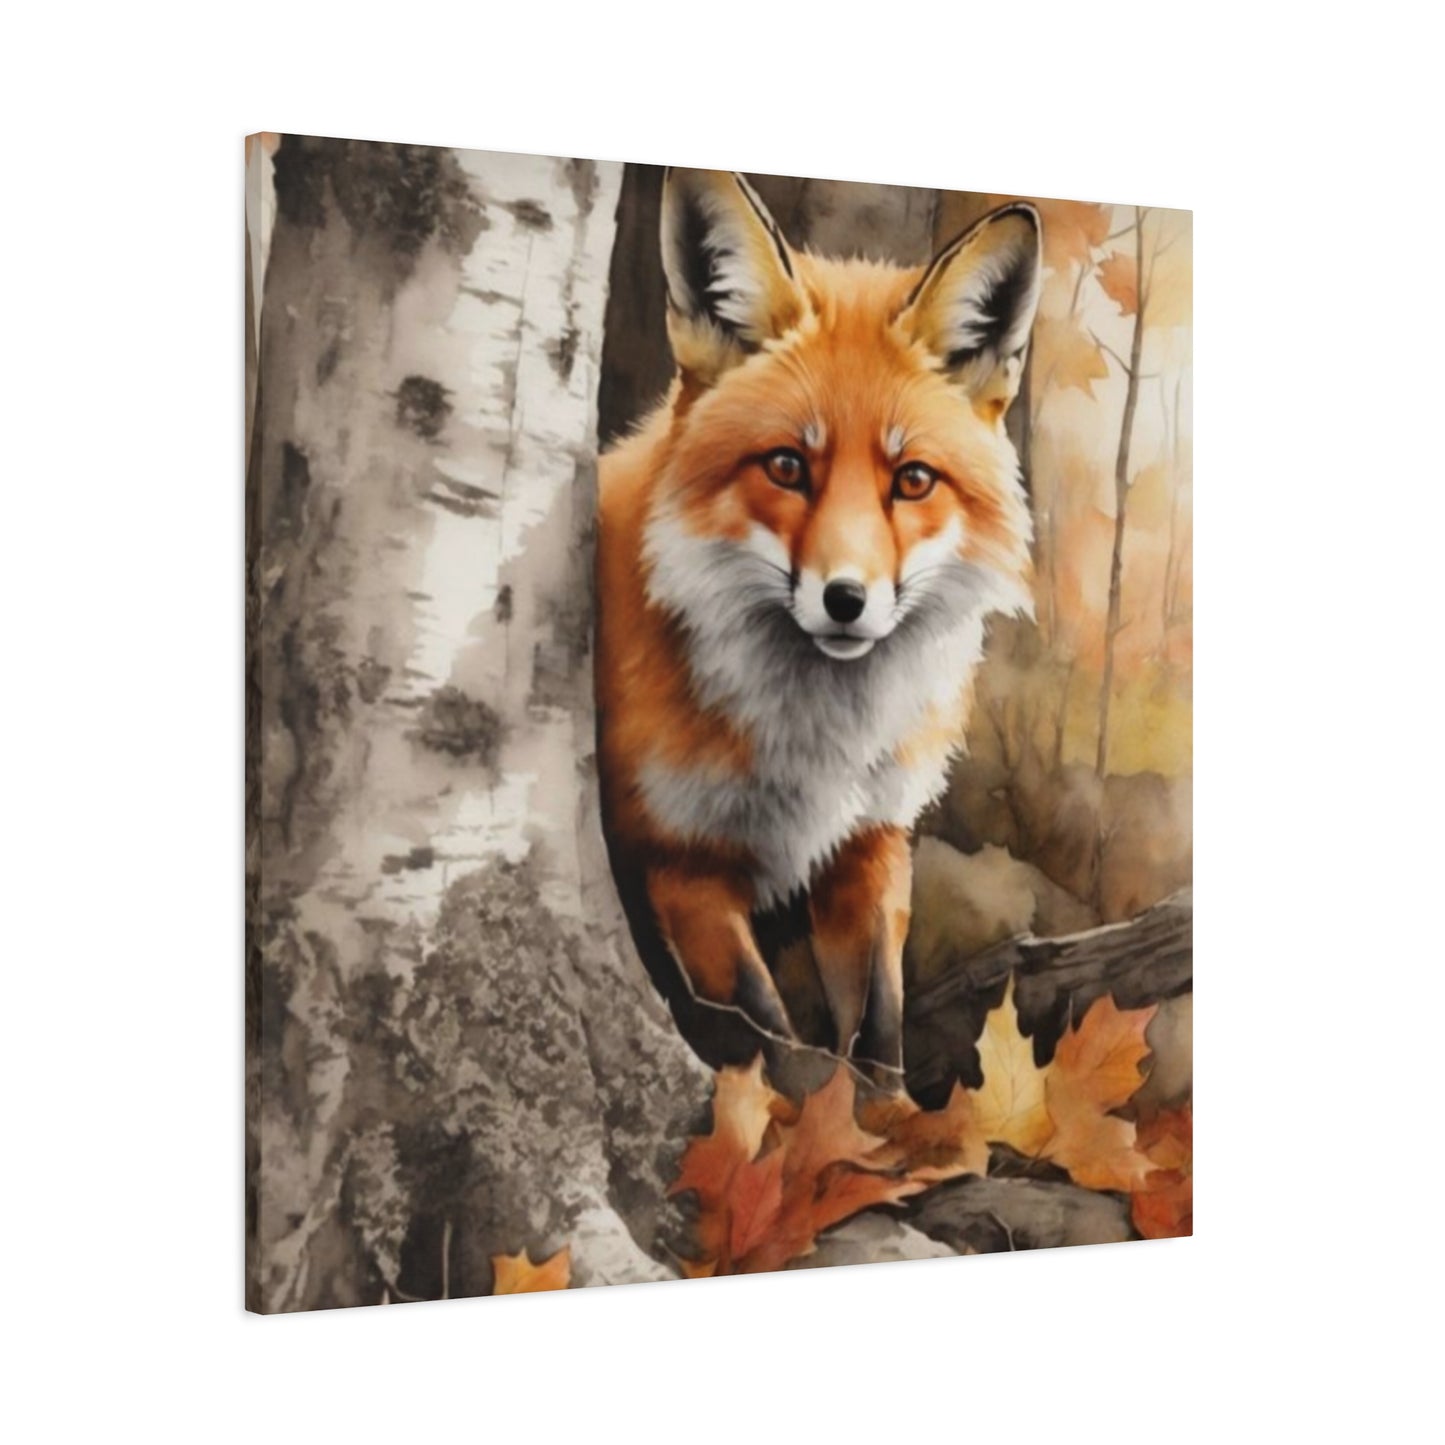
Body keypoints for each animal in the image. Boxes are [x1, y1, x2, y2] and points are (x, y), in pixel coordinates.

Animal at [596, 169, 1040, 1086]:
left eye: (912, 480)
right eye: (786, 466)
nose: (845, 599)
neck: (818, 743)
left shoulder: (871, 843)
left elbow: (877, 1033)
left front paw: (891, 1118)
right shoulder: (680, 863)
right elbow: (780, 1047)